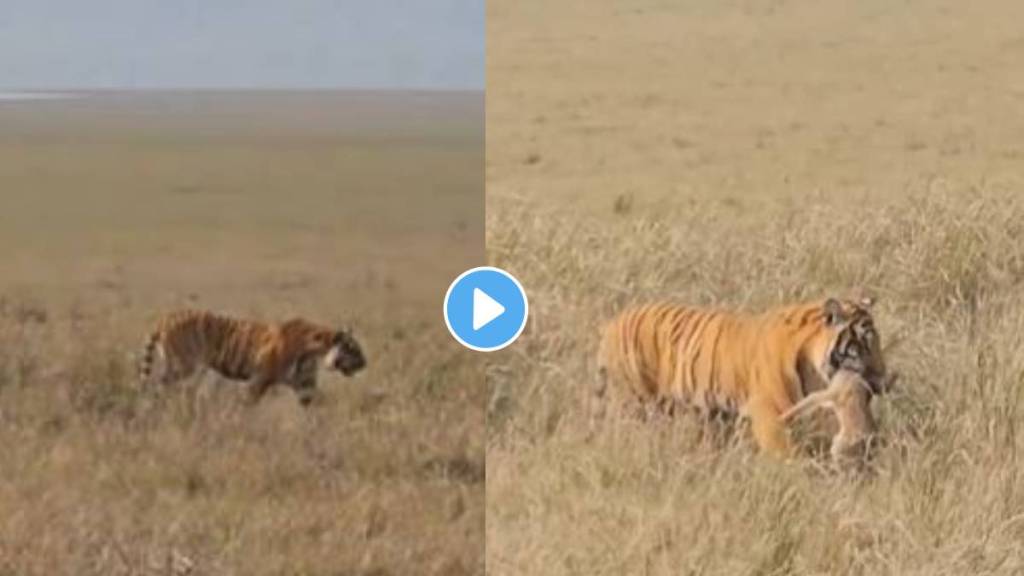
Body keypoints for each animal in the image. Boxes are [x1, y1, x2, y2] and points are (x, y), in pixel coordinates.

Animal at [138, 309, 366, 403]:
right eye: (353, 349)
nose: (365, 363)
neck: (315, 351)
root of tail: (164, 318)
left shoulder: (305, 386)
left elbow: (321, 407)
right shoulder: (261, 379)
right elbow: (248, 404)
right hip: (184, 366)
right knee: (158, 385)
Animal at [598, 295, 884, 453]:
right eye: (862, 347)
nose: (883, 380)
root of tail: (611, 323)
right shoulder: (769, 414)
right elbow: (787, 455)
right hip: (632, 402)